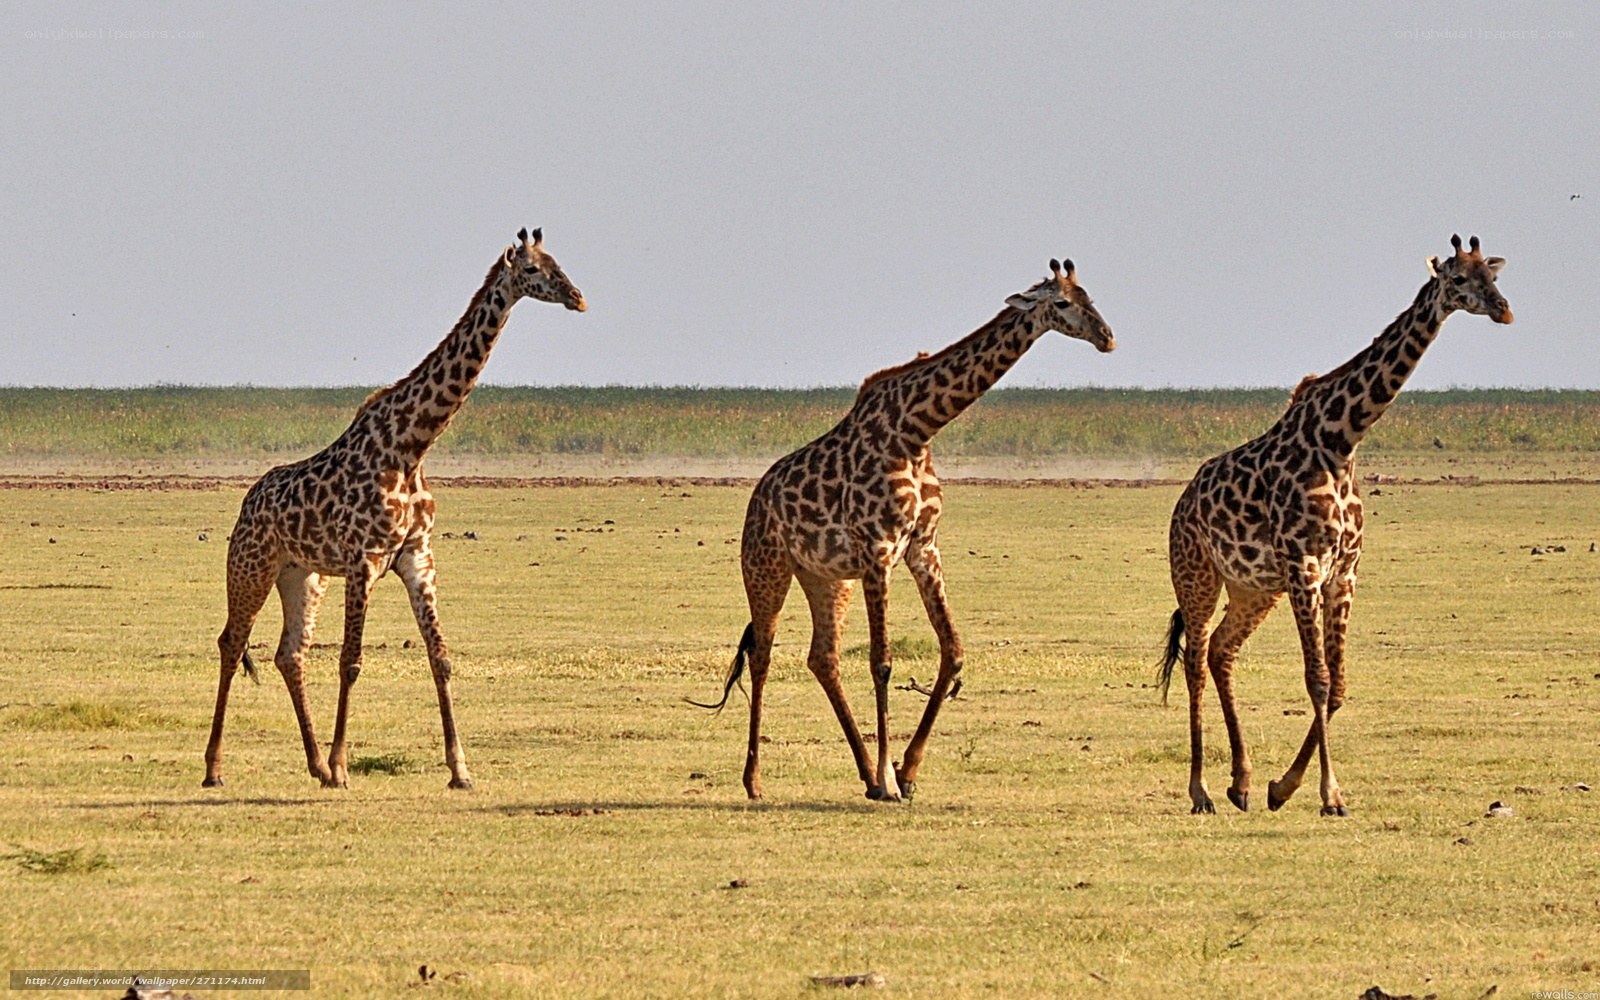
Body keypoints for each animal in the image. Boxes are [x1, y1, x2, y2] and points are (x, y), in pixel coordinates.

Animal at [203, 228, 585, 790]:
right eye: (535, 270)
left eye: (561, 263)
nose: (578, 298)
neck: (412, 445)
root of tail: (248, 503)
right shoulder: (364, 559)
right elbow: (351, 660)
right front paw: (344, 765)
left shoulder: (416, 556)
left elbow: (440, 658)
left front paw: (460, 770)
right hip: (251, 566)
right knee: (232, 642)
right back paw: (216, 768)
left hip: (303, 575)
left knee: (289, 654)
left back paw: (315, 766)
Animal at [691, 258, 1116, 801]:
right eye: (1061, 302)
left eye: (1090, 297)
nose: (1107, 338)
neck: (917, 431)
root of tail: (757, 497)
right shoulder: (879, 549)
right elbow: (882, 662)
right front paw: (892, 778)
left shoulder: (922, 548)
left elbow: (952, 651)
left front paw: (906, 772)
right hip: (766, 566)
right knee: (763, 656)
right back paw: (756, 780)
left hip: (827, 577)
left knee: (822, 657)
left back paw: (865, 774)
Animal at [1158, 235, 1512, 816]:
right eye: (1459, 279)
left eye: (1494, 275)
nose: (1504, 310)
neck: (1341, 440)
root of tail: (1183, 502)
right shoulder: (1304, 565)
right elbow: (1318, 679)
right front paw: (1328, 795)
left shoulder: (1343, 572)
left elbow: (1340, 684)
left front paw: (1283, 786)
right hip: (1197, 575)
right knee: (1194, 661)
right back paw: (1201, 791)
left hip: (1254, 588)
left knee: (1221, 651)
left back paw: (1241, 783)